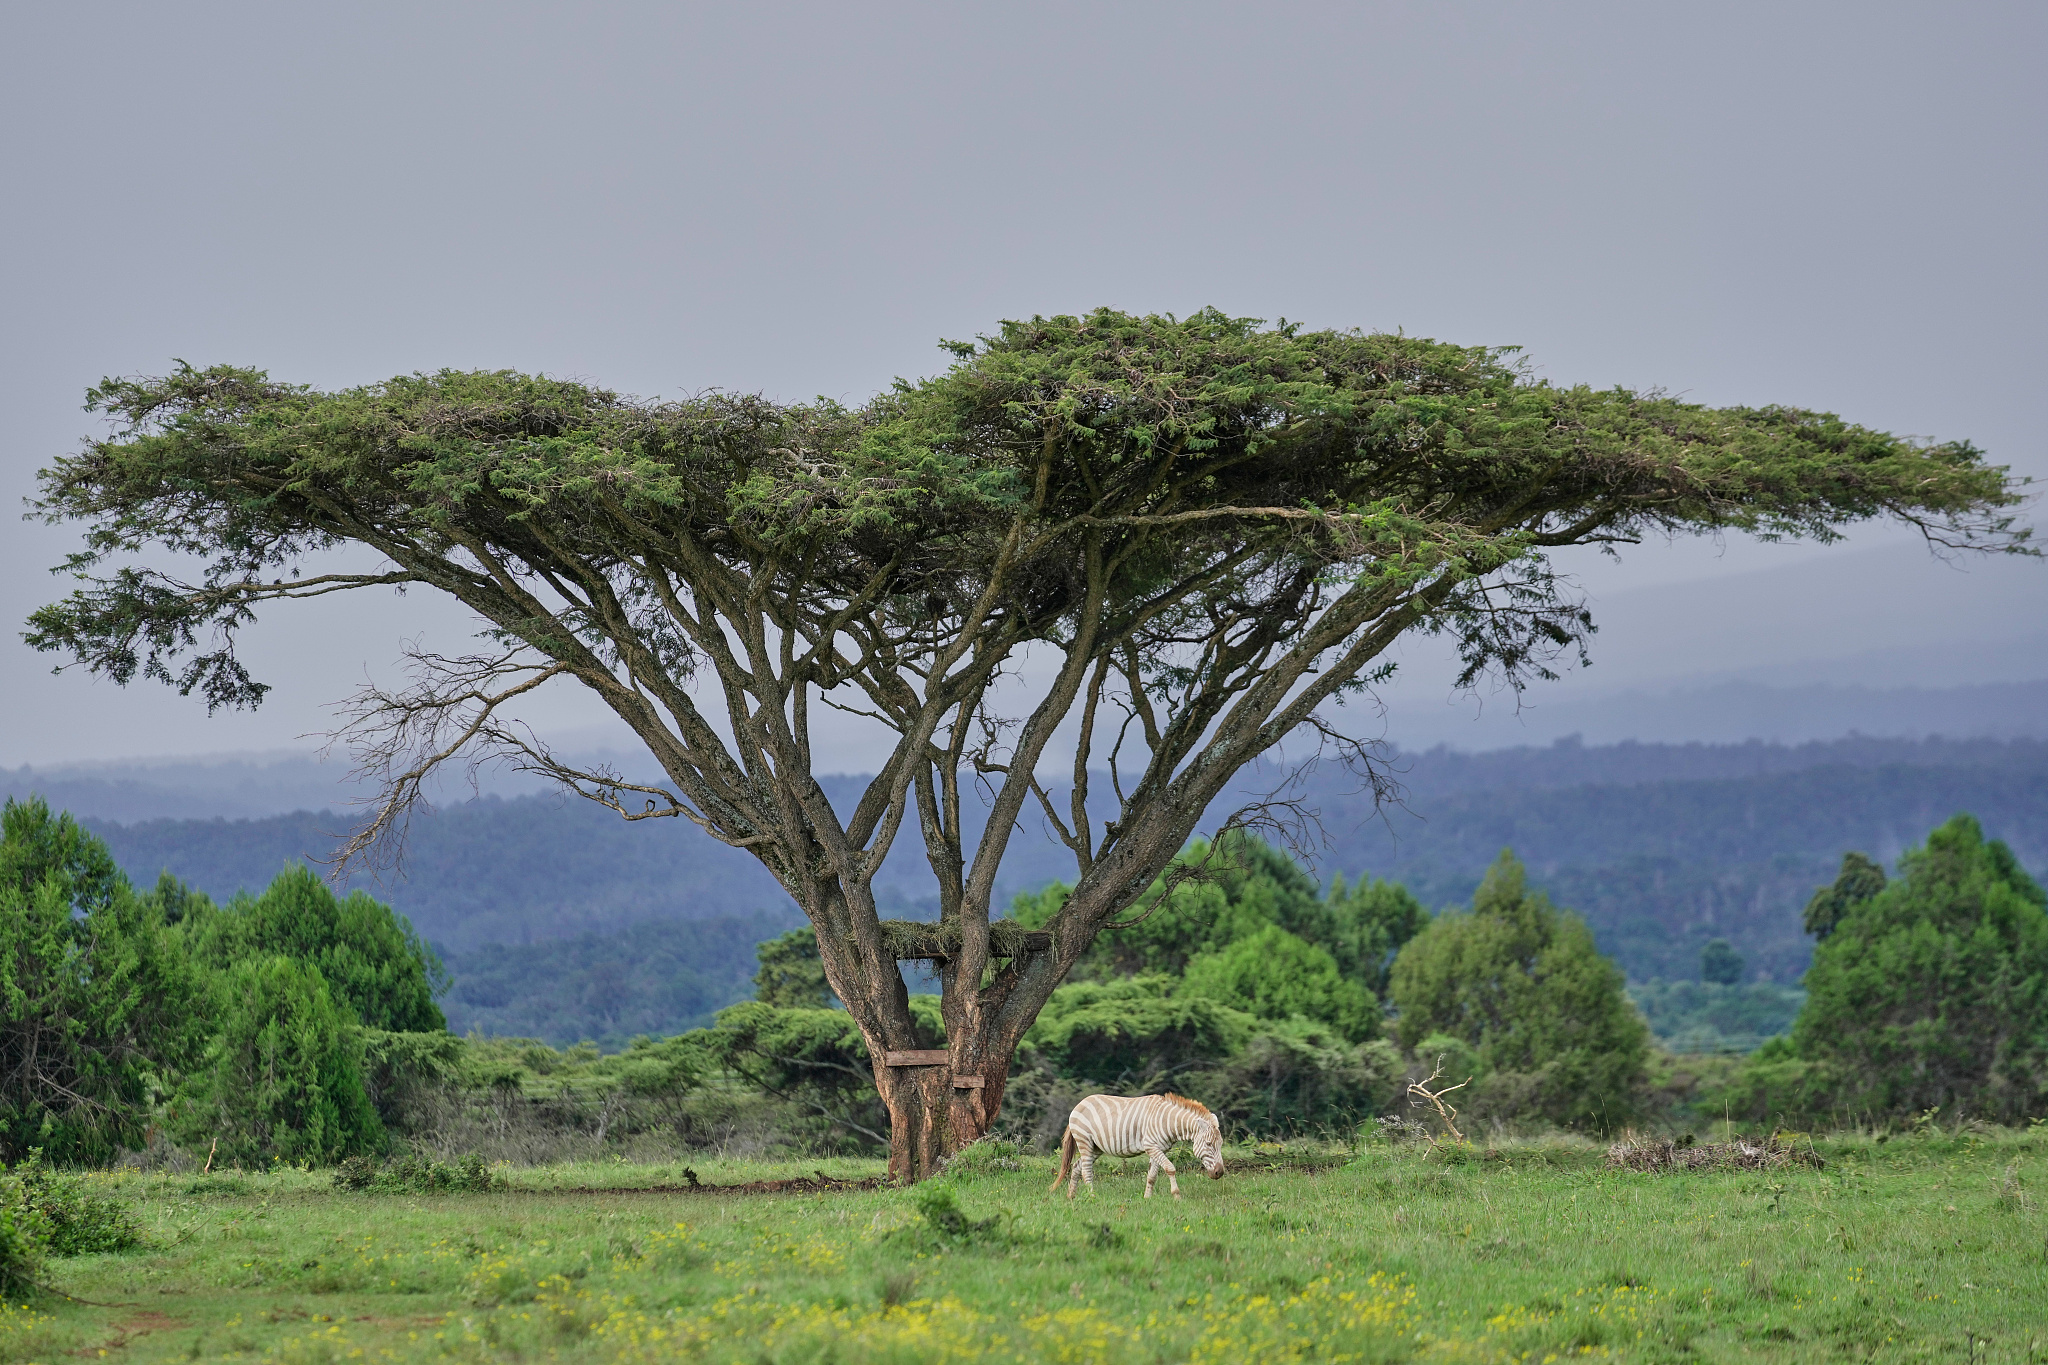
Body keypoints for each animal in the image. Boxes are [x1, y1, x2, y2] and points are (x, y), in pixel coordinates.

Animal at [1050, 1092, 1225, 1199]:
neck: (1167, 1120)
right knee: (1086, 1171)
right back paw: (1092, 1197)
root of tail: (1079, 1104)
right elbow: (1170, 1168)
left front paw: (1147, 1198)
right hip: (1084, 1141)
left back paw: (1071, 1196)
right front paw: (1176, 1196)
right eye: (1209, 1144)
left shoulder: (1157, 1148)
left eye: (1220, 1145)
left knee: (1076, 1166)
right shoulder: (1151, 1146)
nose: (1220, 1173)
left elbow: (1152, 1176)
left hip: (1096, 1147)